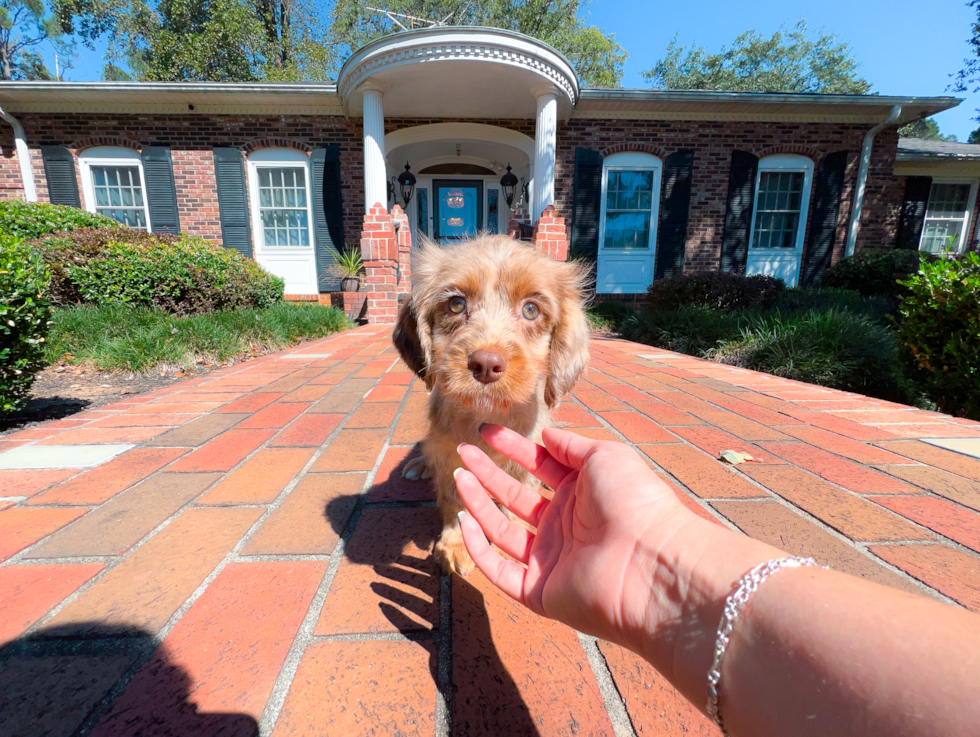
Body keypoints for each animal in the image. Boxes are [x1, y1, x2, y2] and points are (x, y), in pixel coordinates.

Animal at [392, 236, 588, 576]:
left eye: (531, 309)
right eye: (456, 304)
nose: (486, 364)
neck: (487, 413)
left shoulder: (525, 459)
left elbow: (520, 501)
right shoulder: (449, 455)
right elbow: (455, 497)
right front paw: (456, 543)